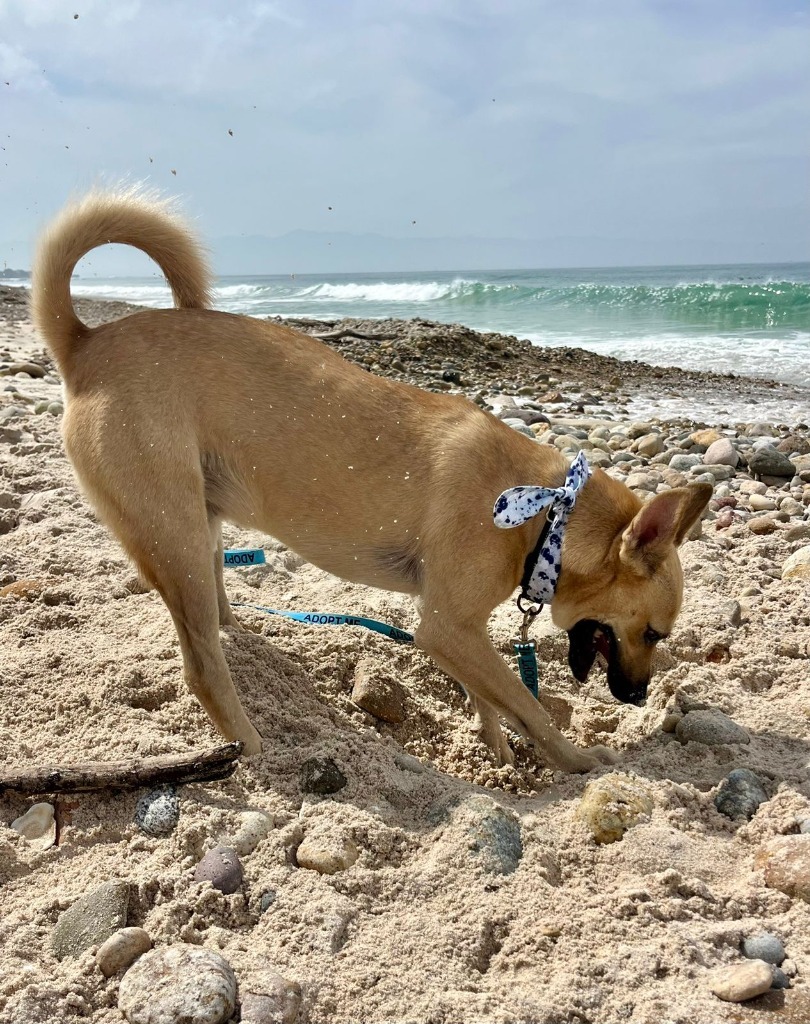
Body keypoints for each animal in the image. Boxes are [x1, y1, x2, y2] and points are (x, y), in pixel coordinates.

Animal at [31, 188, 708, 770]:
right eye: (652, 632)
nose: (639, 697)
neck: (549, 515)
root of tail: (85, 345)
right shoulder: (445, 628)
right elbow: (529, 708)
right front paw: (577, 763)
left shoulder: (460, 632)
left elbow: (491, 698)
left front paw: (495, 745)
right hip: (175, 537)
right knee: (201, 666)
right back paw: (254, 748)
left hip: (202, 525)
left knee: (216, 619)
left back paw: (248, 641)